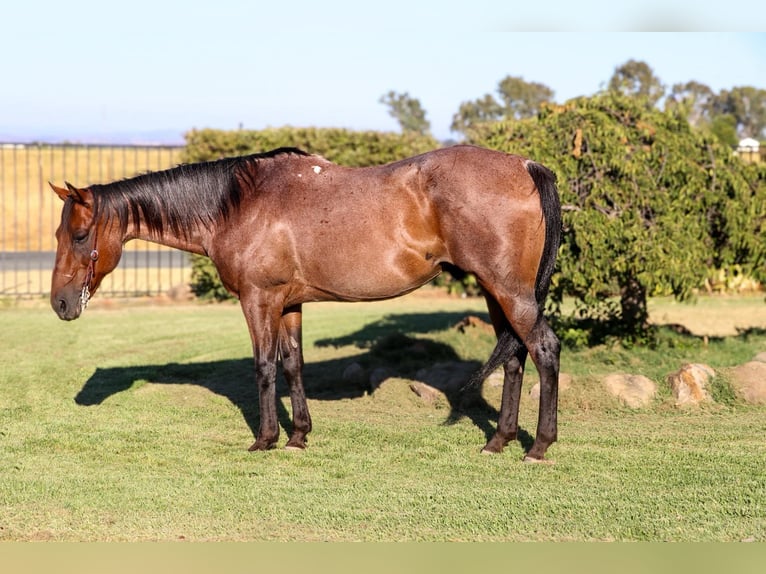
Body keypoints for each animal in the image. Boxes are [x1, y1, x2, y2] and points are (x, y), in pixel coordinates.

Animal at [49, 145, 564, 464]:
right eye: (58, 234)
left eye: (80, 235)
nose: (60, 303)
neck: (240, 204)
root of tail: (524, 165)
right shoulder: (290, 304)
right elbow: (293, 364)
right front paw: (298, 436)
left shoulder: (259, 300)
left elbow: (264, 367)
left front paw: (266, 439)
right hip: (496, 293)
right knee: (514, 357)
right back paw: (499, 441)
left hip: (508, 292)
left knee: (544, 349)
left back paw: (538, 446)